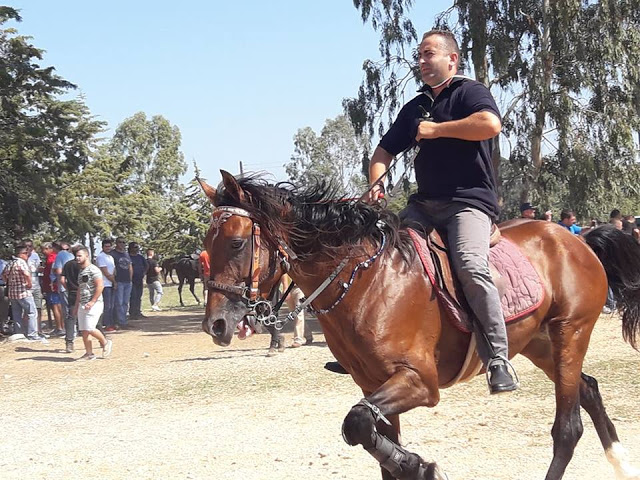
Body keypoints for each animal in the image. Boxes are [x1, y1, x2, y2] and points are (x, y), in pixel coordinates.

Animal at [198, 172, 636, 480]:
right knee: (589, 390)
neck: (364, 282)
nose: (215, 325)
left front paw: (423, 467)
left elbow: (356, 424)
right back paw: (622, 462)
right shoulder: (372, 386)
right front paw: (413, 465)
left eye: (236, 243)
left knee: (568, 428)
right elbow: (372, 441)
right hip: (539, 343)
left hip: (569, 333)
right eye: (205, 245)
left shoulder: (420, 382)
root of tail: (576, 238)